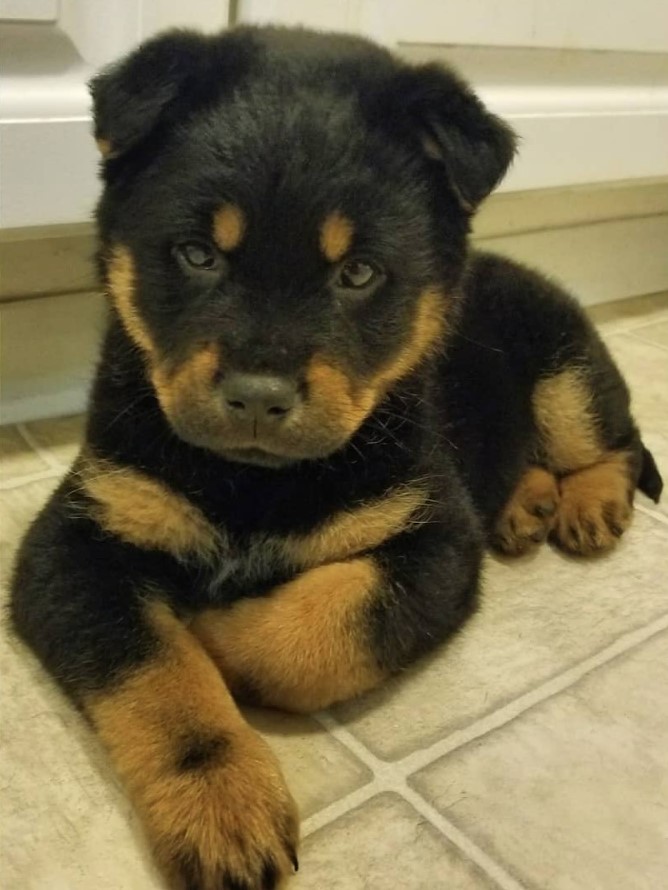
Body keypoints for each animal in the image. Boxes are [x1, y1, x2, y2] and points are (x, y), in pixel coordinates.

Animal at [10, 24, 664, 888]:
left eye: (358, 272)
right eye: (196, 254)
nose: (257, 396)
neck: (251, 483)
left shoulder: (434, 543)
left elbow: (318, 628)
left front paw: (215, 633)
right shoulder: (77, 538)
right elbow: (159, 676)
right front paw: (221, 805)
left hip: (567, 373)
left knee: (615, 438)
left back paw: (589, 504)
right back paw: (527, 504)